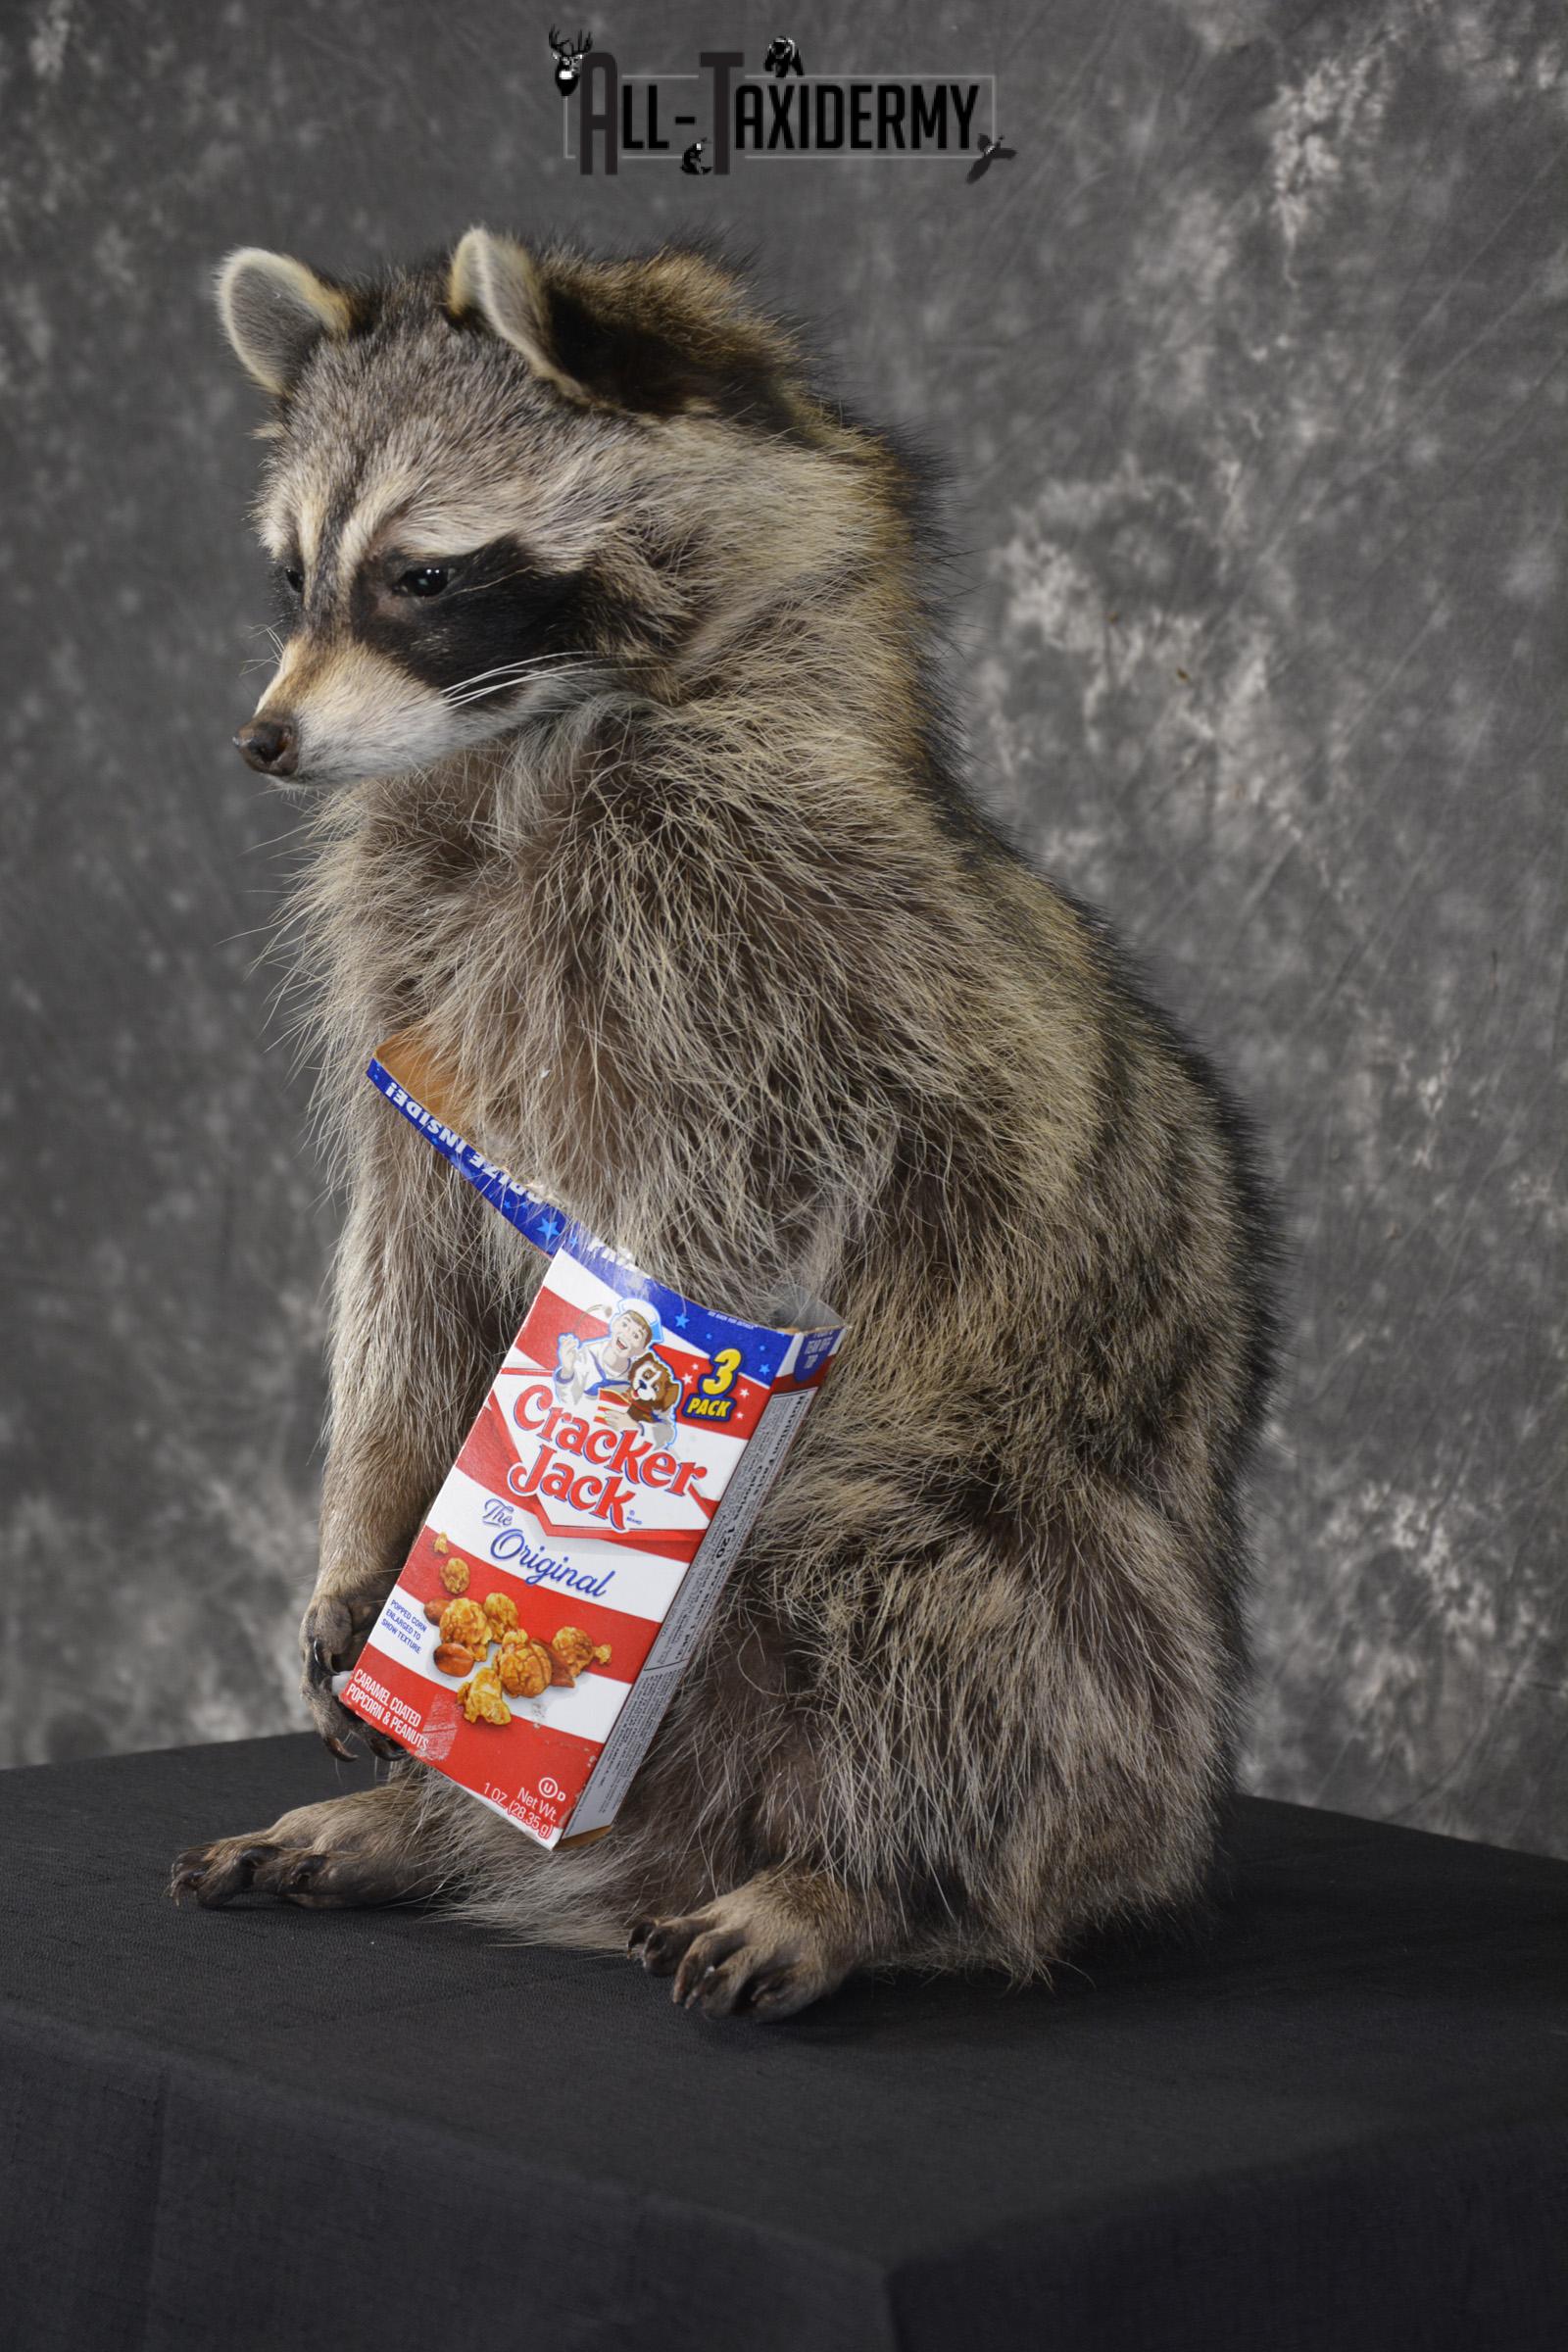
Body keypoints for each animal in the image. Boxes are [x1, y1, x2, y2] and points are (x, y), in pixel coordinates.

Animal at [171, 230, 1278, 2020]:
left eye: (422, 575)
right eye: (294, 576)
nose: (265, 741)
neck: (524, 749)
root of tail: (671, 1839)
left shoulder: (784, 969)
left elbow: (724, 1237)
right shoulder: (414, 987)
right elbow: (402, 1247)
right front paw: (367, 1530)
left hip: (1058, 1574)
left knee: (935, 1600)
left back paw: (866, 1877)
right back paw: (423, 1813)